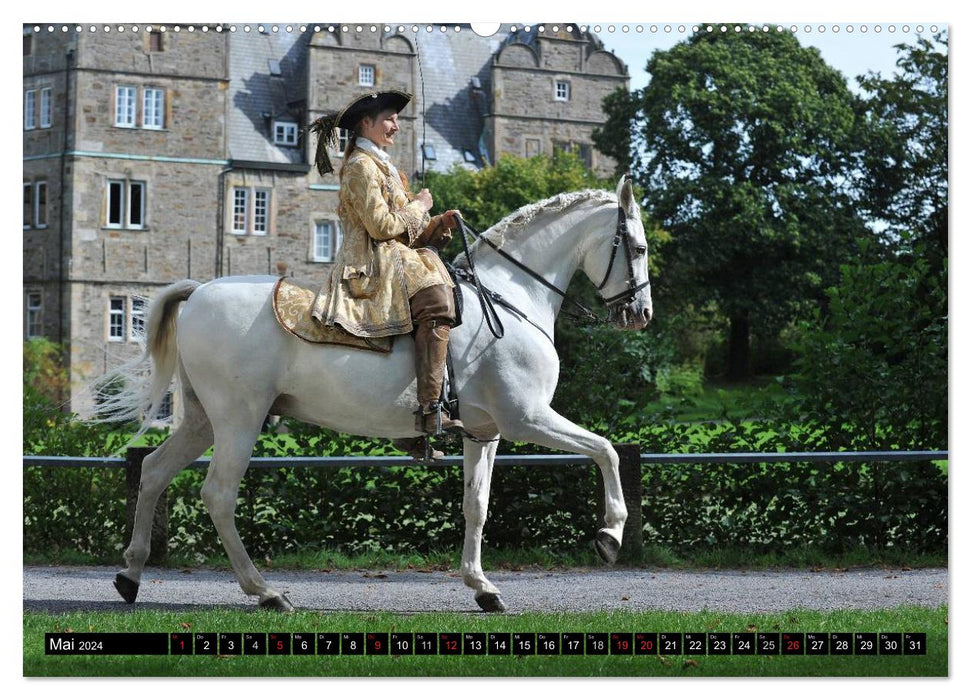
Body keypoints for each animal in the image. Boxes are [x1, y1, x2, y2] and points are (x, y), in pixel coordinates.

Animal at [102, 176, 652, 612]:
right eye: (640, 249)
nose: (640, 313)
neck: (510, 298)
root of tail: (199, 292)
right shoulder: (529, 418)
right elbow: (605, 451)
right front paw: (610, 535)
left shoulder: (486, 434)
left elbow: (476, 505)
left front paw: (482, 587)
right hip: (239, 421)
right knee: (218, 495)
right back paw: (266, 592)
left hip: (201, 420)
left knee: (154, 472)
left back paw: (130, 575)